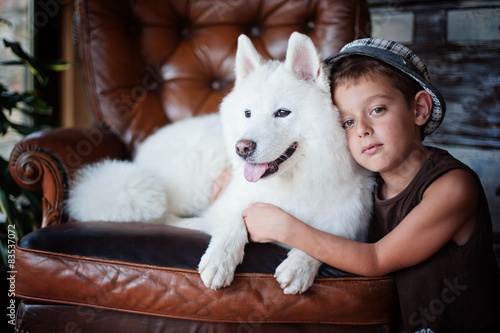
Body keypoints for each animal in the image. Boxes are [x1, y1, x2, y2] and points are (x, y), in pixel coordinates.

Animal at [66, 32, 374, 294]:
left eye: (282, 113)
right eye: (248, 113)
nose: (242, 148)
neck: (292, 182)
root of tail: (141, 153)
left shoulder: (350, 228)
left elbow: (321, 238)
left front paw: (300, 265)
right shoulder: (226, 203)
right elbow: (232, 220)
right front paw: (220, 259)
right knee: (166, 216)